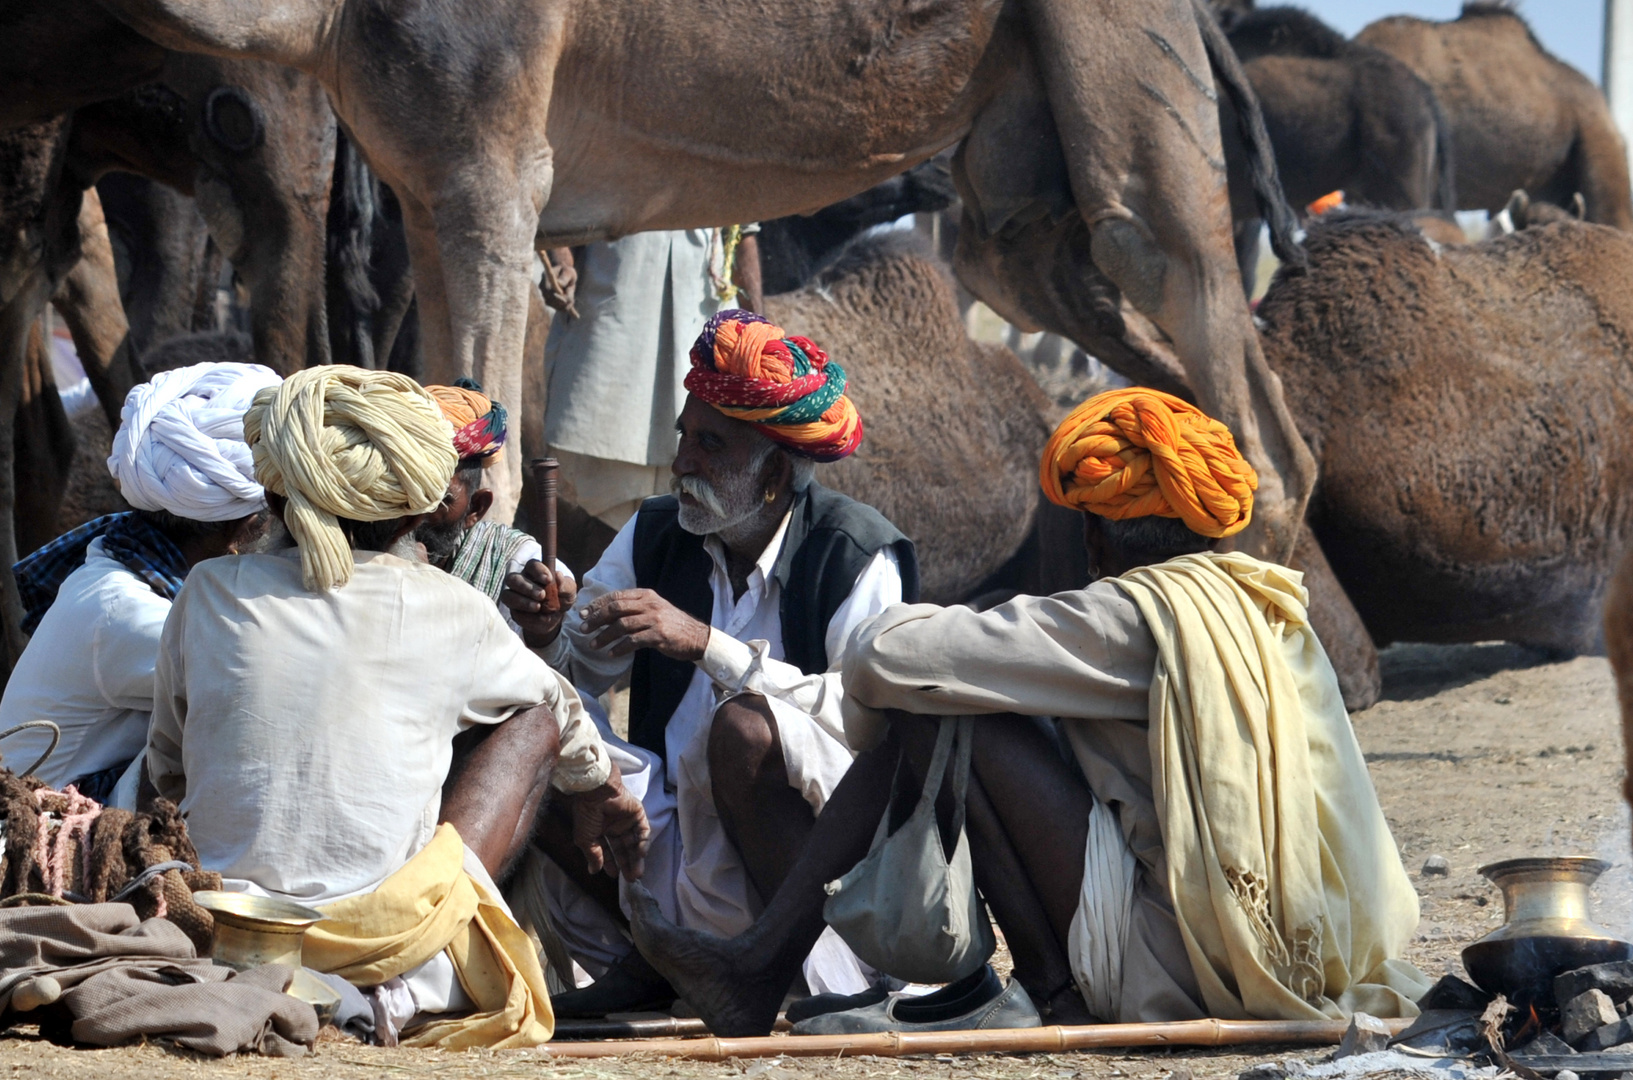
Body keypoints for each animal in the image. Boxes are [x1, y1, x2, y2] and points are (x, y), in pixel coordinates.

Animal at [98, 0, 1312, 565]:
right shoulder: (424, 181)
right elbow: (448, 436)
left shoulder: (491, 158)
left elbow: (486, 467)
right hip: (1015, 189)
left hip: (1126, 69)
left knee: (1224, 373)